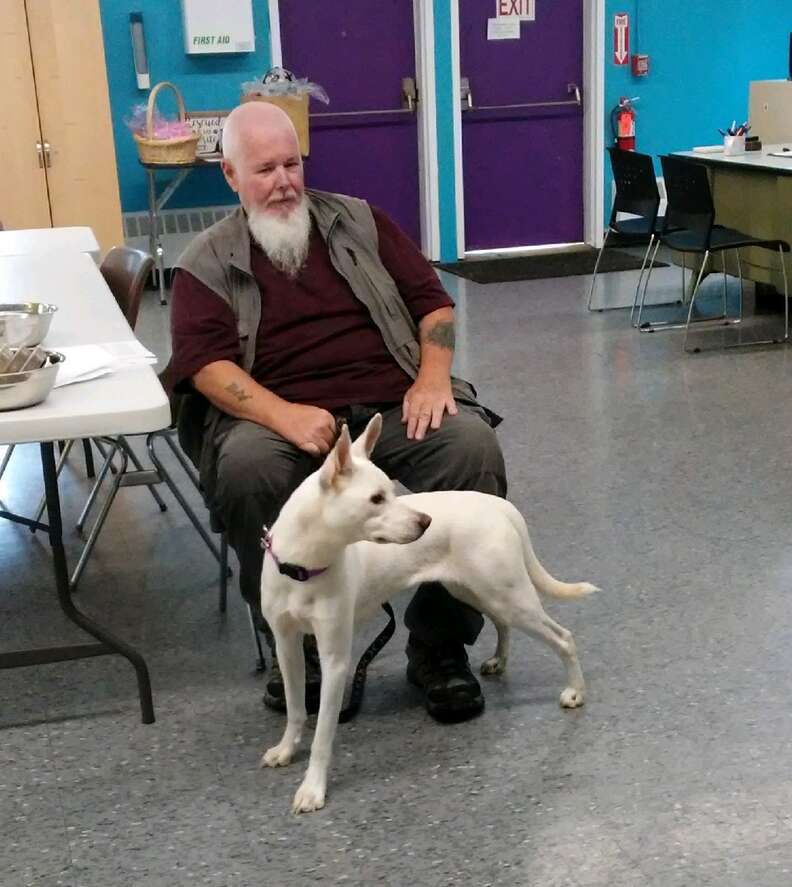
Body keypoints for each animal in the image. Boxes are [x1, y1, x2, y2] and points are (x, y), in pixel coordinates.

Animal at [262, 416, 600, 812]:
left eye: (390, 491)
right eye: (376, 499)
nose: (426, 522)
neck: (304, 566)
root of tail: (499, 506)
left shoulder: (336, 660)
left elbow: (323, 734)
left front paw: (312, 788)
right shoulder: (287, 646)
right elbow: (296, 708)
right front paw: (285, 749)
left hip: (509, 596)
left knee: (563, 638)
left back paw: (575, 692)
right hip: (477, 590)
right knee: (503, 624)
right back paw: (499, 661)